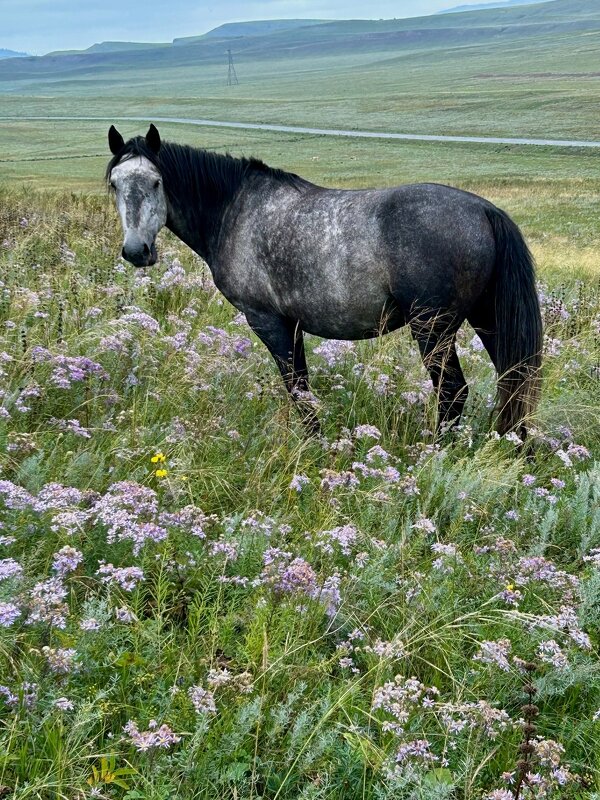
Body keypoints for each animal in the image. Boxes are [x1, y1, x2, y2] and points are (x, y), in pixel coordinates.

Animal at [108, 124, 544, 438]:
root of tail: (484, 210)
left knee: (453, 392)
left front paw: (313, 444)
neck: (235, 210)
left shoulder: (269, 322)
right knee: (513, 382)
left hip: (432, 329)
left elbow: (297, 388)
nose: (136, 251)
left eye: (157, 182)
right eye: (115, 184)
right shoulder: (293, 325)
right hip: (486, 319)